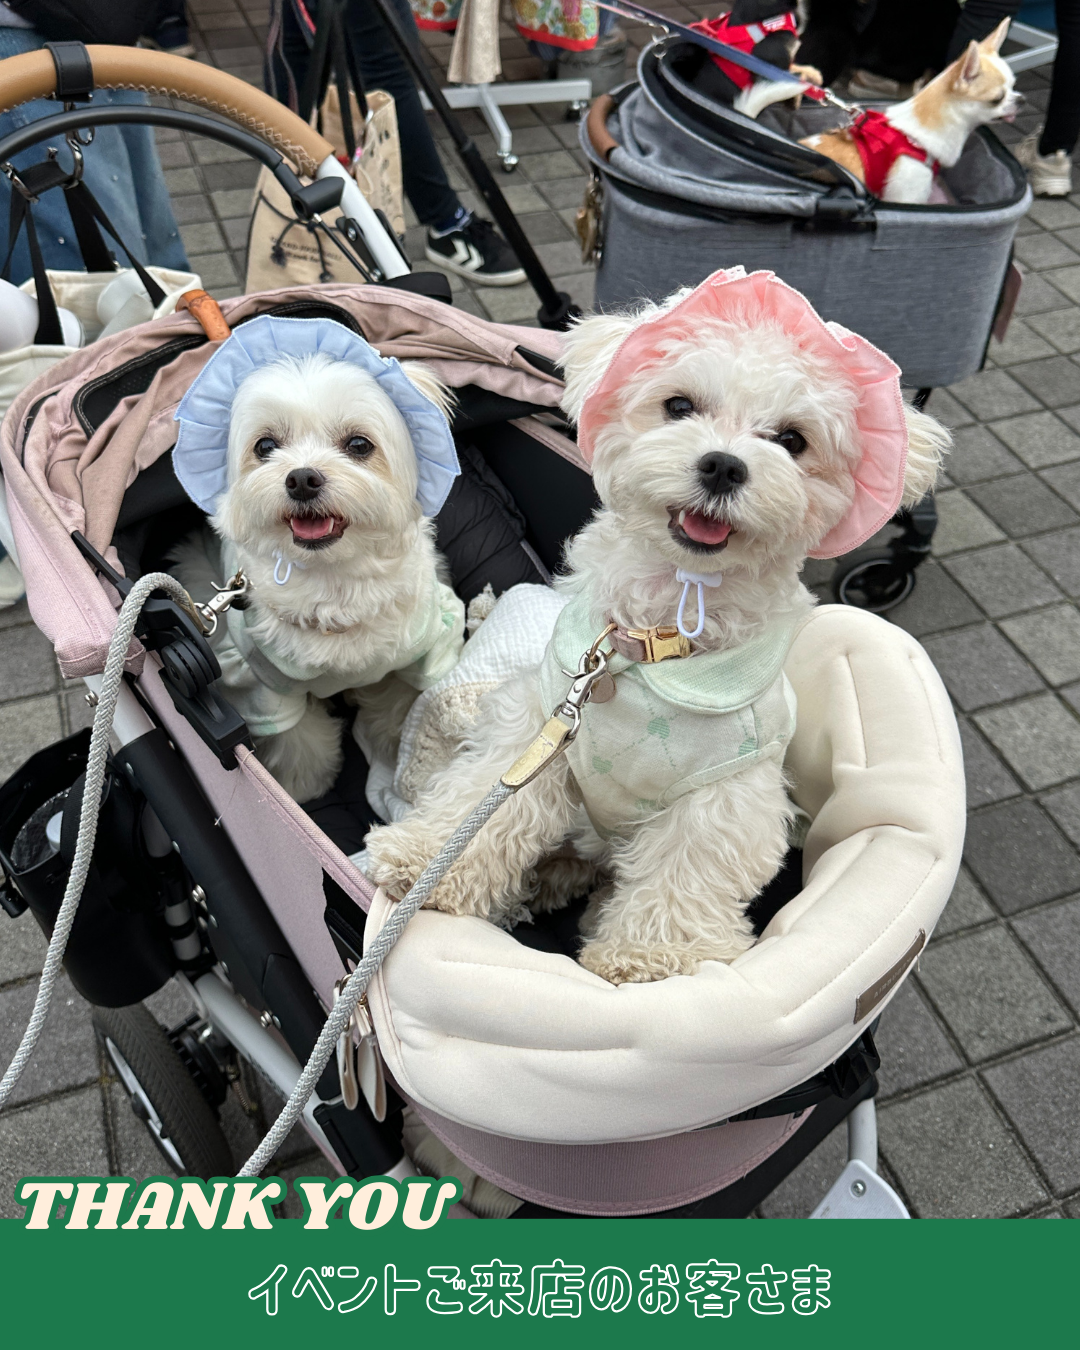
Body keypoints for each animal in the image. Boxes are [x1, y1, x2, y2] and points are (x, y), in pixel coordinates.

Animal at [172, 315, 464, 799]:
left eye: (360, 445)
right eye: (265, 446)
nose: (302, 478)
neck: (334, 580)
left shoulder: (422, 648)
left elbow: (400, 699)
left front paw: (396, 743)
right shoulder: (259, 682)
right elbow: (296, 739)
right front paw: (305, 785)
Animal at [367, 265, 950, 982]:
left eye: (792, 440)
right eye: (679, 406)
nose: (723, 464)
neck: (655, 642)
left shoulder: (723, 794)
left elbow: (683, 870)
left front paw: (649, 958)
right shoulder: (540, 731)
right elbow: (481, 807)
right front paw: (423, 865)